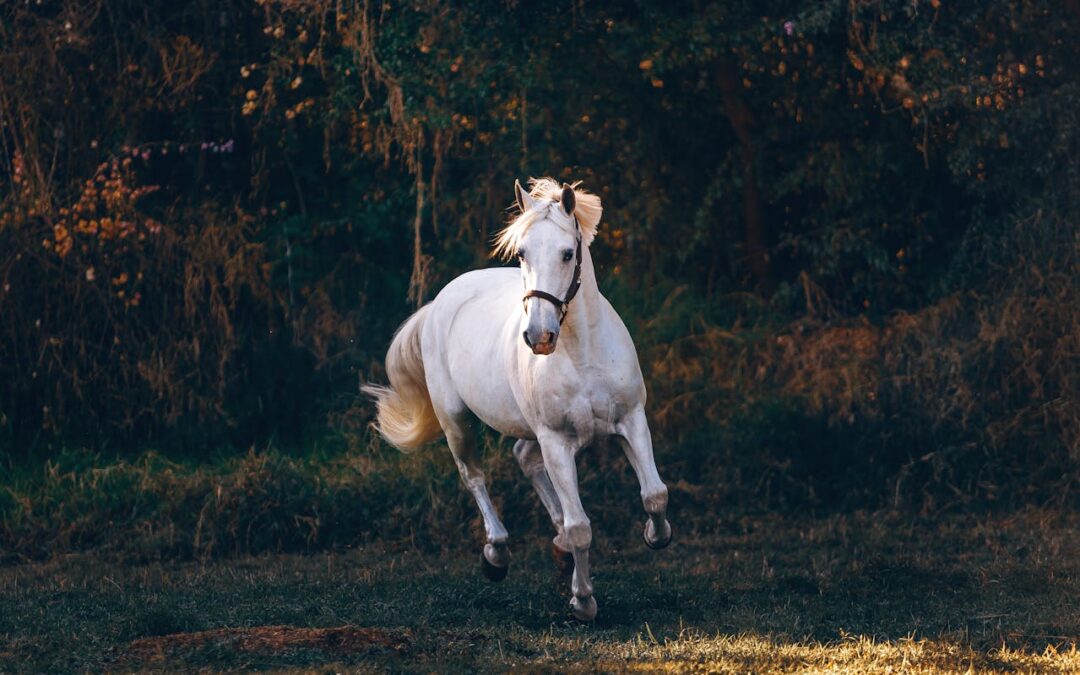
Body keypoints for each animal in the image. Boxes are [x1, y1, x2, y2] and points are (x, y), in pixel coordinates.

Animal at [362, 176, 665, 617]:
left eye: (567, 253)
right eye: (521, 253)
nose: (539, 337)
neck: (583, 353)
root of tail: (440, 302)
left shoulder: (631, 420)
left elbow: (655, 496)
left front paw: (653, 536)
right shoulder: (556, 441)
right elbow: (581, 526)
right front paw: (583, 601)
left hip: (528, 428)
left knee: (524, 459)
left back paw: (556, 549)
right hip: (456, 420)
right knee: (474, 476)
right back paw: (497, 555)